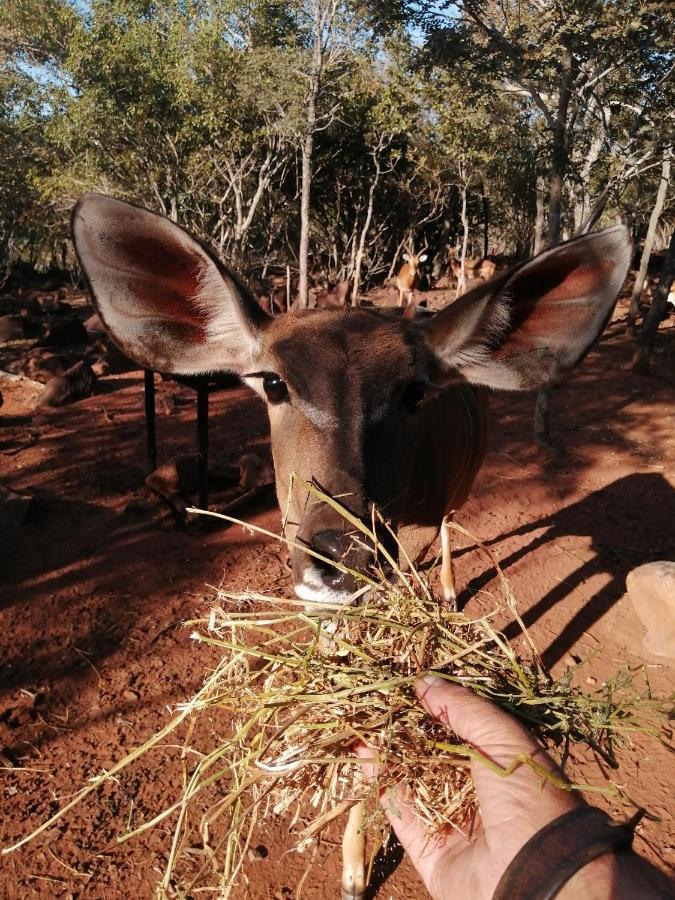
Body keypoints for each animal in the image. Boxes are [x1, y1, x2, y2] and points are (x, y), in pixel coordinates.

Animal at [72, 195, 632, 900]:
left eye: (413, 391)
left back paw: (450, 591)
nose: (341, 551)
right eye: (273, 382)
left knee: (454, 533)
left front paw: (353, 868)